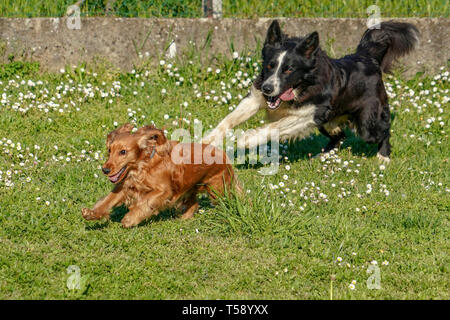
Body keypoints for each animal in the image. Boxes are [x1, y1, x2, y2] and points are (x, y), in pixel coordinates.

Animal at [81, 123, 239, 228]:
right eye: (109, 150)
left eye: (123, 152)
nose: (105, 170)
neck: (144, 165)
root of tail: (225, 156)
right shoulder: (126, 186)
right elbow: (108, 200)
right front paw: (91, 213)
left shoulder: (163, 191)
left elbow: (145, 203)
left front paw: (130, 219)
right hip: (190, 188)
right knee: (194, 204)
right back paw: (183, 219)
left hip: (216, 190)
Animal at [202, 19, 420, 162]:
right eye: (270, 66)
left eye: (289, 69)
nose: (268, 88)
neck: (302, 86)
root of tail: (366, 56)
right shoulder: (256, 98)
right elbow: (228, 120)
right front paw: (206, 141)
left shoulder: (311, 113)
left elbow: (275, 126)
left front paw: (247, 140)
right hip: (329, 122)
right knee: (340, 135)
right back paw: (321, 156)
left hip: (367, 122)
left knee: (383, 131)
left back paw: (384, 157)